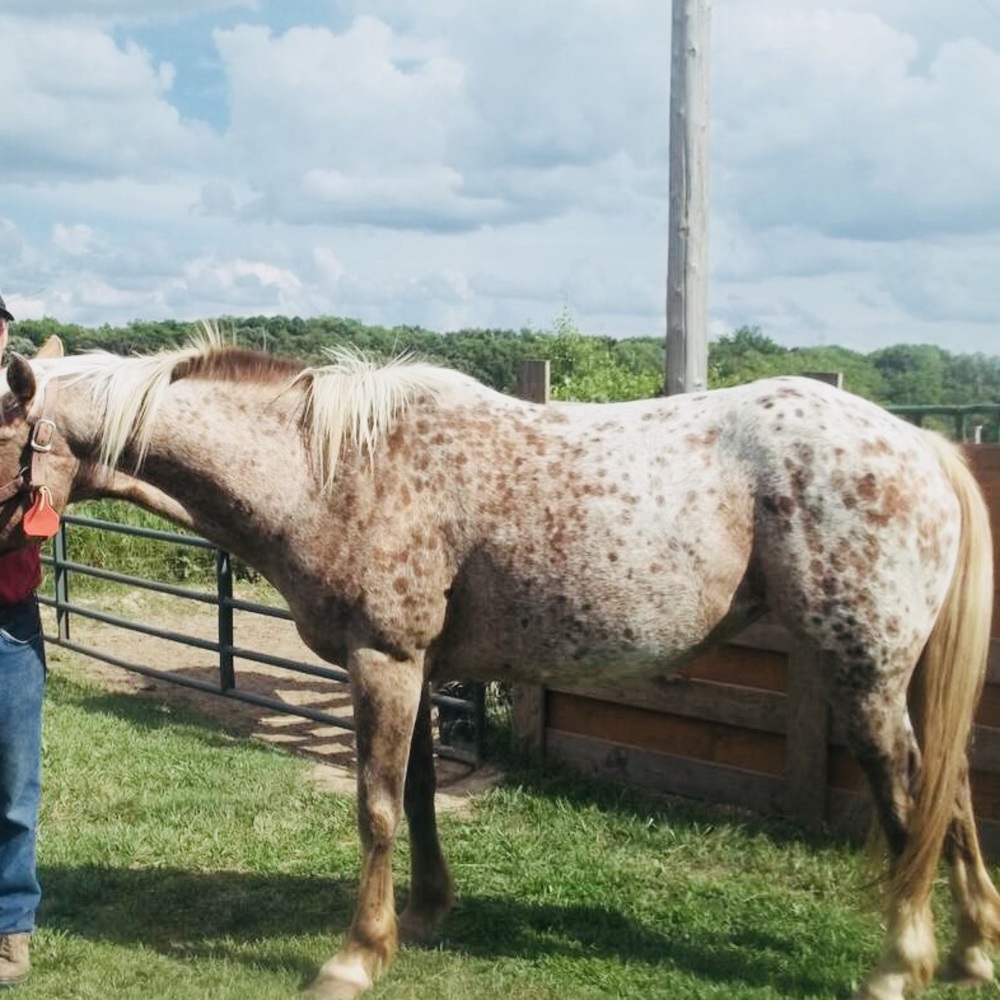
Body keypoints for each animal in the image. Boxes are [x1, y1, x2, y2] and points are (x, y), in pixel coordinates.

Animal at [0, 331, 996, 1000]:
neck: (334, 470)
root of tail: (921, 445)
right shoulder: (419, 664)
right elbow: (417, 794)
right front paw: (423, 914)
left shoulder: (383, 662)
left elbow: (373, 808)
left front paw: (354, 956)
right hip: (898, 679)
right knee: (948, 793)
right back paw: (971, 946)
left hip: (862, 677)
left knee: (907, 793)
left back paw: (900, 965)